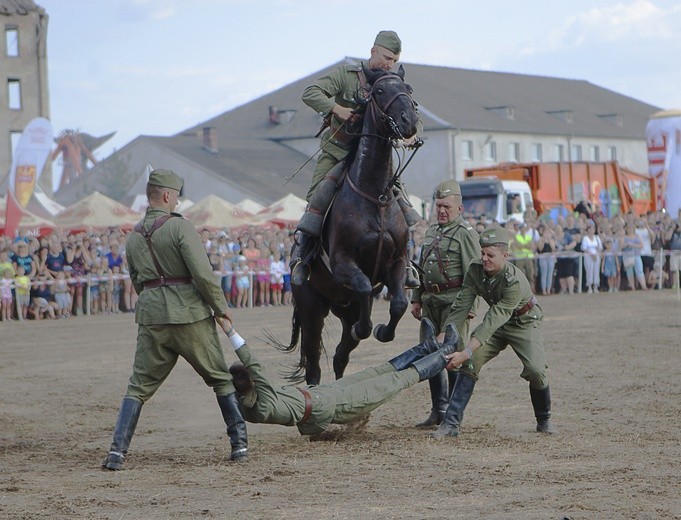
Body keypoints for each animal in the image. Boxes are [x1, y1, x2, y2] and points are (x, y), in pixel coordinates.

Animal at [282, 65, 420, 384]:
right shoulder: (344, 263)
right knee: (314, 363)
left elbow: (398, 303)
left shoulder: (397, 261)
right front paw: (368, 327)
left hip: (343, 307)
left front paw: (382, 330)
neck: (375, 196)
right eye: (380, 91)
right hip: (312, 310)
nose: (408, 121)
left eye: (407, 89)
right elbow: (365, 287)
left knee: (340, 356)